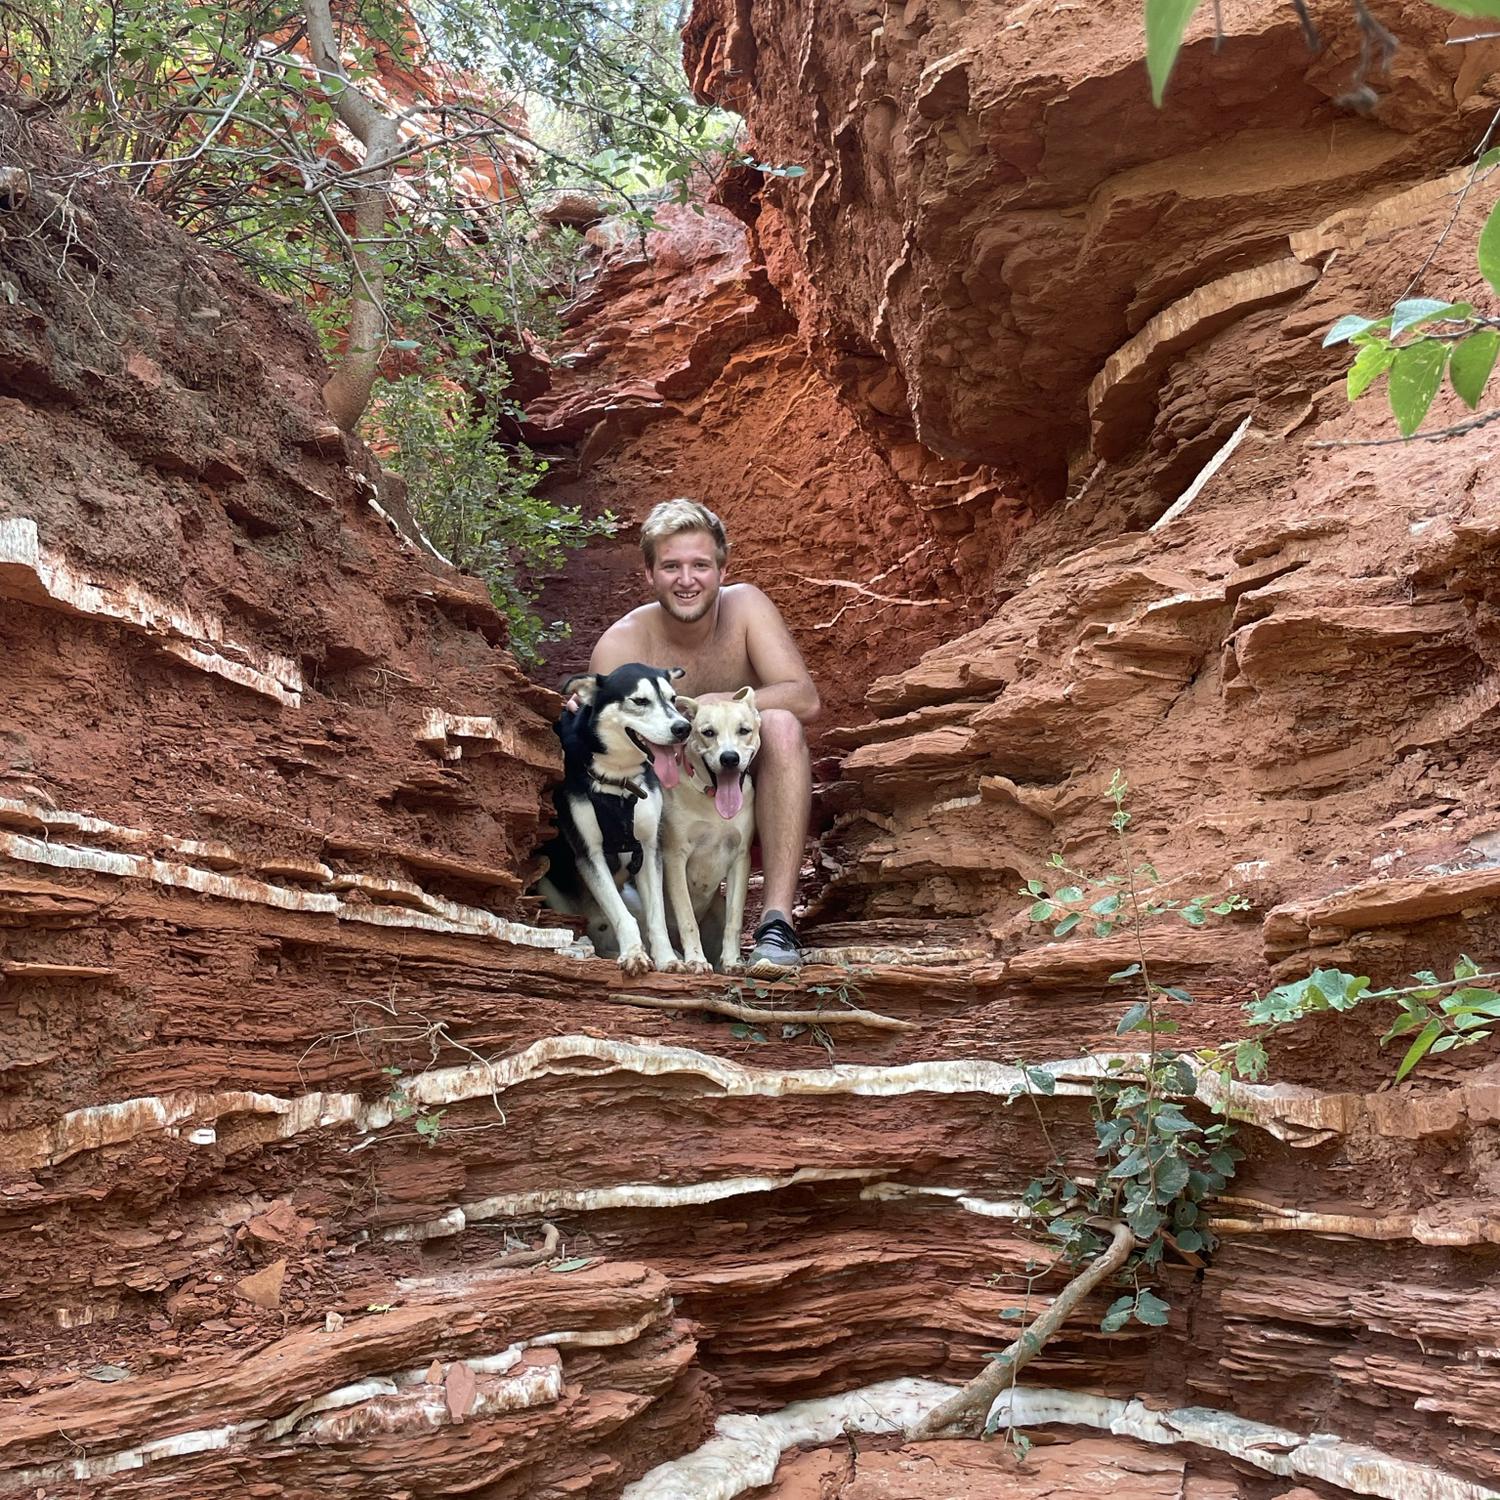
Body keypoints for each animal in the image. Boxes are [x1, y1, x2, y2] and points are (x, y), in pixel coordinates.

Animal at [534, 666, 690, 972]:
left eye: (673, 698)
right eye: (640, 701)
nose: (683, 728)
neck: (618, 781)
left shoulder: (649, 849)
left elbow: (657, 919)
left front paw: (666, 958)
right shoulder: (590, 855)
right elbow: (621, 915)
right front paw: (633, 953)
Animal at [663, 687, 762, 972]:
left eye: (744, 730)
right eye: (708, 732)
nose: (729, 758)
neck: (712, 802)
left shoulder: (741, 858)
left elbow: (735, 920)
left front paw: (732, 961)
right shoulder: (674, 856)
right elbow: (687, 918)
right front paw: (696, 960)